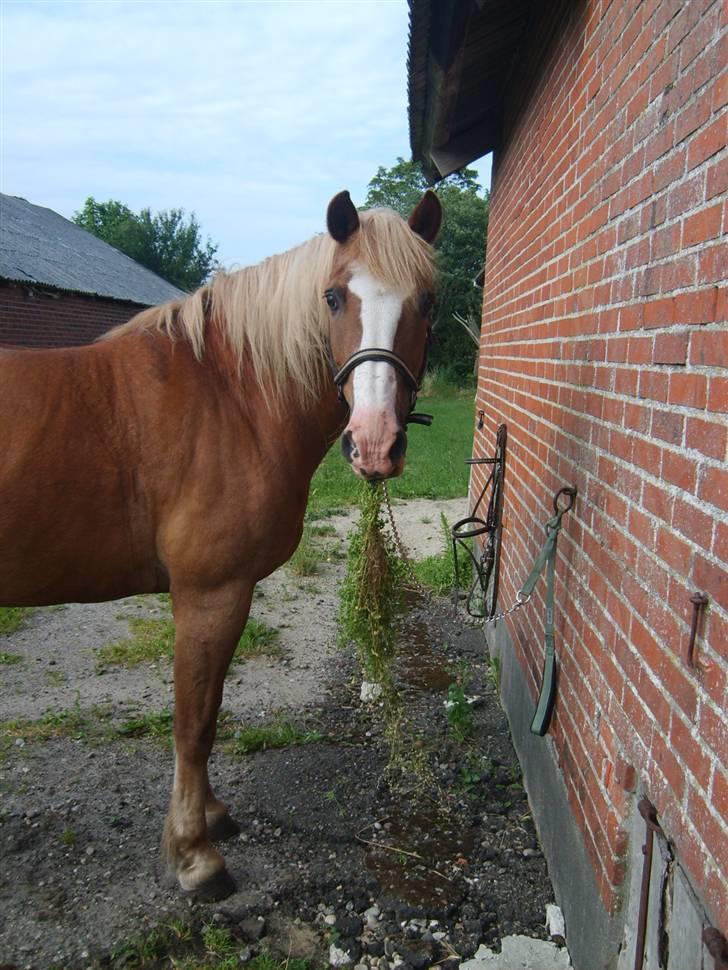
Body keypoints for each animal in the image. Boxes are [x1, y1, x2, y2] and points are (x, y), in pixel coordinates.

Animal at [0, 189, 444, 900]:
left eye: (426, 301)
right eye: (332, 297)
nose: (374, 443)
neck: (230, 398)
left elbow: (209, 715)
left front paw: (209, 816)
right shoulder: (209, 594)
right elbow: (194, 723)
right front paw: (193, 855)